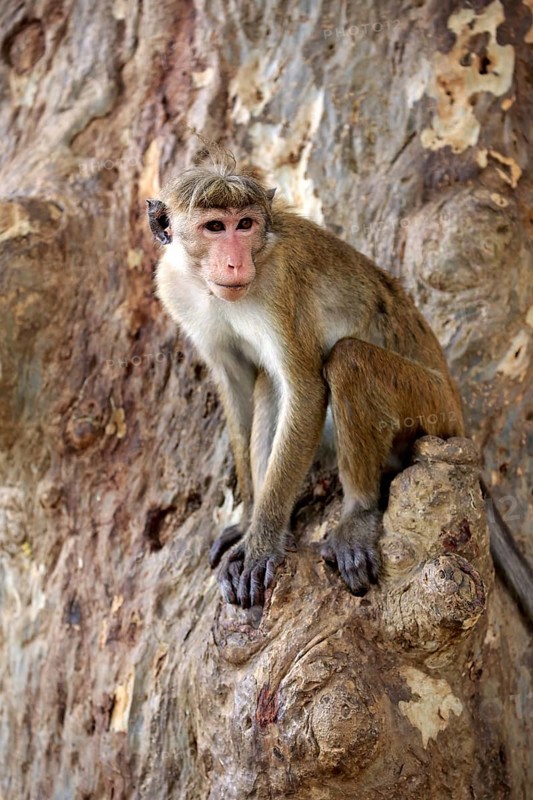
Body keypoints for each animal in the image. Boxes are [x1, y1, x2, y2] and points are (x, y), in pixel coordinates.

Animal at [147, 145, 533, 621]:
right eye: (215, 227)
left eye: (245, 225)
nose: (236, 261)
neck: (209, 286)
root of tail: (459, 421)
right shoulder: (176, 290)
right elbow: (238, 385)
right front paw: (249, 520)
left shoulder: (279, 284)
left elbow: (306, 390)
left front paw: (261, 543)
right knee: (268, 383)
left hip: (431, 405)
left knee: (348, 361)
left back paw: (357, 513)